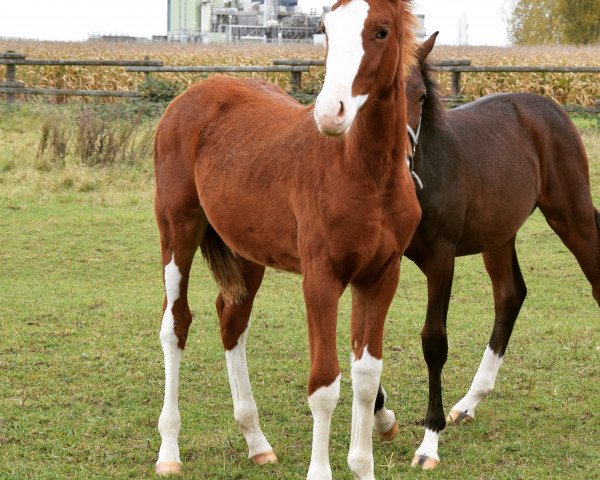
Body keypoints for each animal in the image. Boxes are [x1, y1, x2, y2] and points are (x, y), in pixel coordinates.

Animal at [152, 1, 420, 478]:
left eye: (382, 31)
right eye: (325, 29)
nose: (330, 114)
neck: (366, 176)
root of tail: (188, 96)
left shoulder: (381, 276)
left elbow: (366, 377)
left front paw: (363, 463)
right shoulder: (321, 279)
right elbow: (325, 384)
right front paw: (320, 471)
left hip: (246, 252)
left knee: (231, 320)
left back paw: (257, 442)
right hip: (177, 231)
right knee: (176, 323)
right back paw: (169, 452)